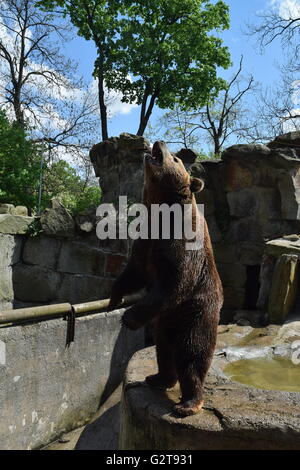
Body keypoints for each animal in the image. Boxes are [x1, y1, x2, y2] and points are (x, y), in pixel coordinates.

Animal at [108, 141, 223, 416]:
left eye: (177, 159)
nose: (159, 142)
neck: (160, 213)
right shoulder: (145, 243)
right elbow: (133, 273)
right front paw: (114, 298)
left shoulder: (182, 247)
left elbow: (174, 284)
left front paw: (128, 317)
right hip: (163, 324)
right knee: (164, 351)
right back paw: (157, 378)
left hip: (196, 315)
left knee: (191, 355)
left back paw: (188, 403)